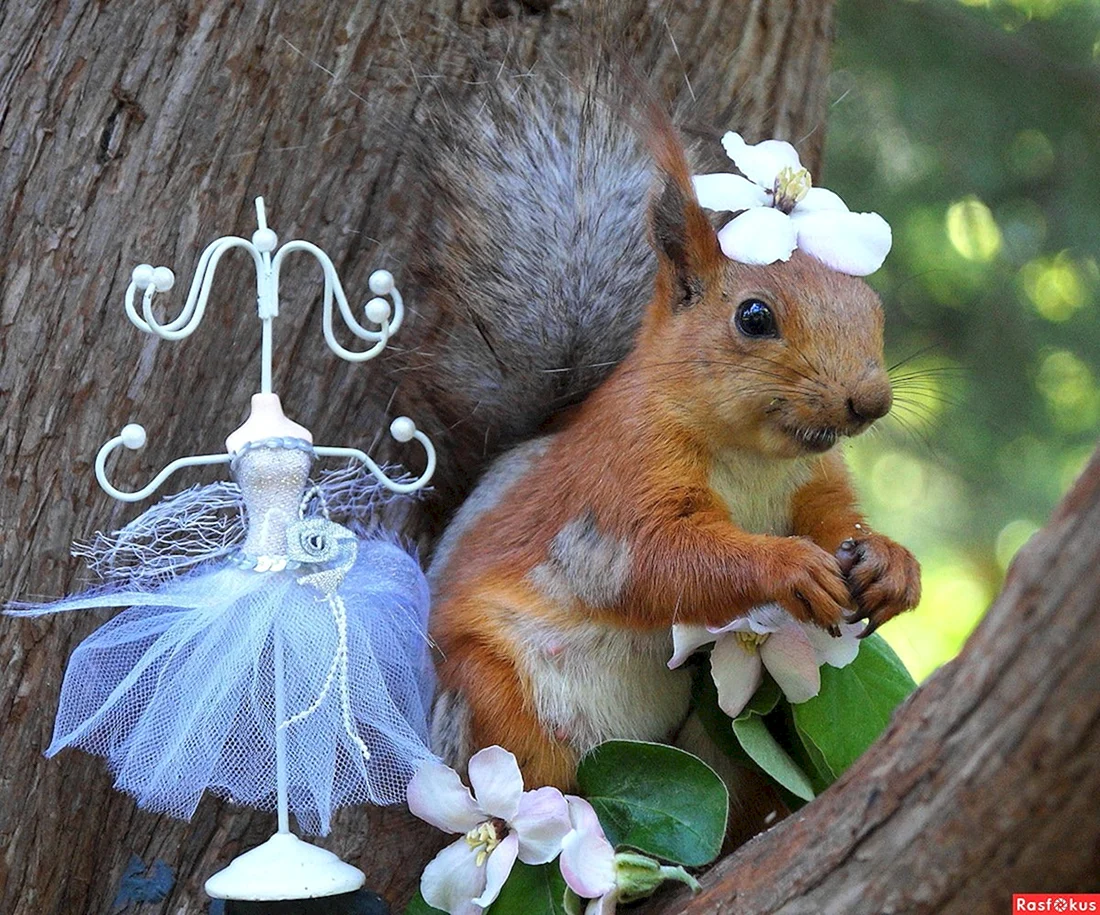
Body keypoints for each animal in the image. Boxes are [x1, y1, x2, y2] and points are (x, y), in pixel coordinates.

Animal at [393, 66, 922, 792]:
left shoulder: (814, 480)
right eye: (754, 317)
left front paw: (891, 563)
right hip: (491, 690)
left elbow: (837, 518)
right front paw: (786, 565)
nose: (869, 401)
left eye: (872, 309)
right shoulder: (619, 482)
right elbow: (663, 560)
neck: (755, 459)